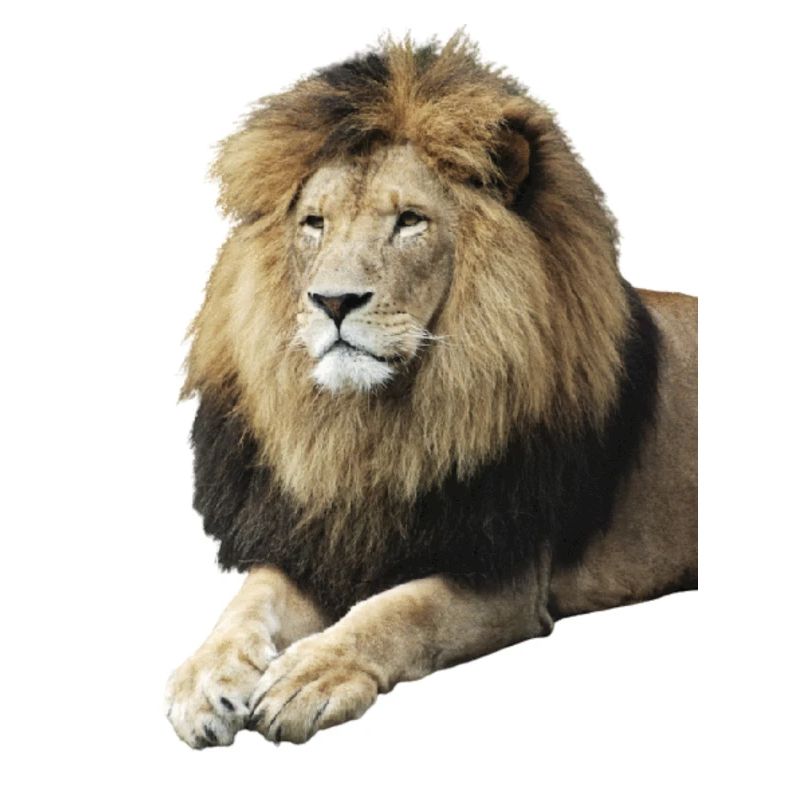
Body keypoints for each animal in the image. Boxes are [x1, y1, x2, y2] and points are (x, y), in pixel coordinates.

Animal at [165, 34, 697, 747]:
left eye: (410, 222)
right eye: (314, 223)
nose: (333, 301)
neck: (374, 425)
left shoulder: (504, 571)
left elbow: (396, 612)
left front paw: (310, 675)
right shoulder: (319, 541)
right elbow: (247, 602)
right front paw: (204, 679)